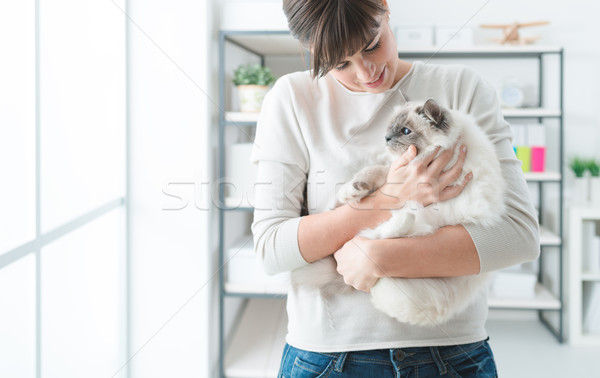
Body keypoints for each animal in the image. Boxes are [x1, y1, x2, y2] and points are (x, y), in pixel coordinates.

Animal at [296, 99, 506, 326]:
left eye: (406, 131)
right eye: (390, 128)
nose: (386, 138)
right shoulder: (395, 169)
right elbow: (373, 173)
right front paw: (351, 191)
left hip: (432, 219)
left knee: (385, 233)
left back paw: (403, 219)